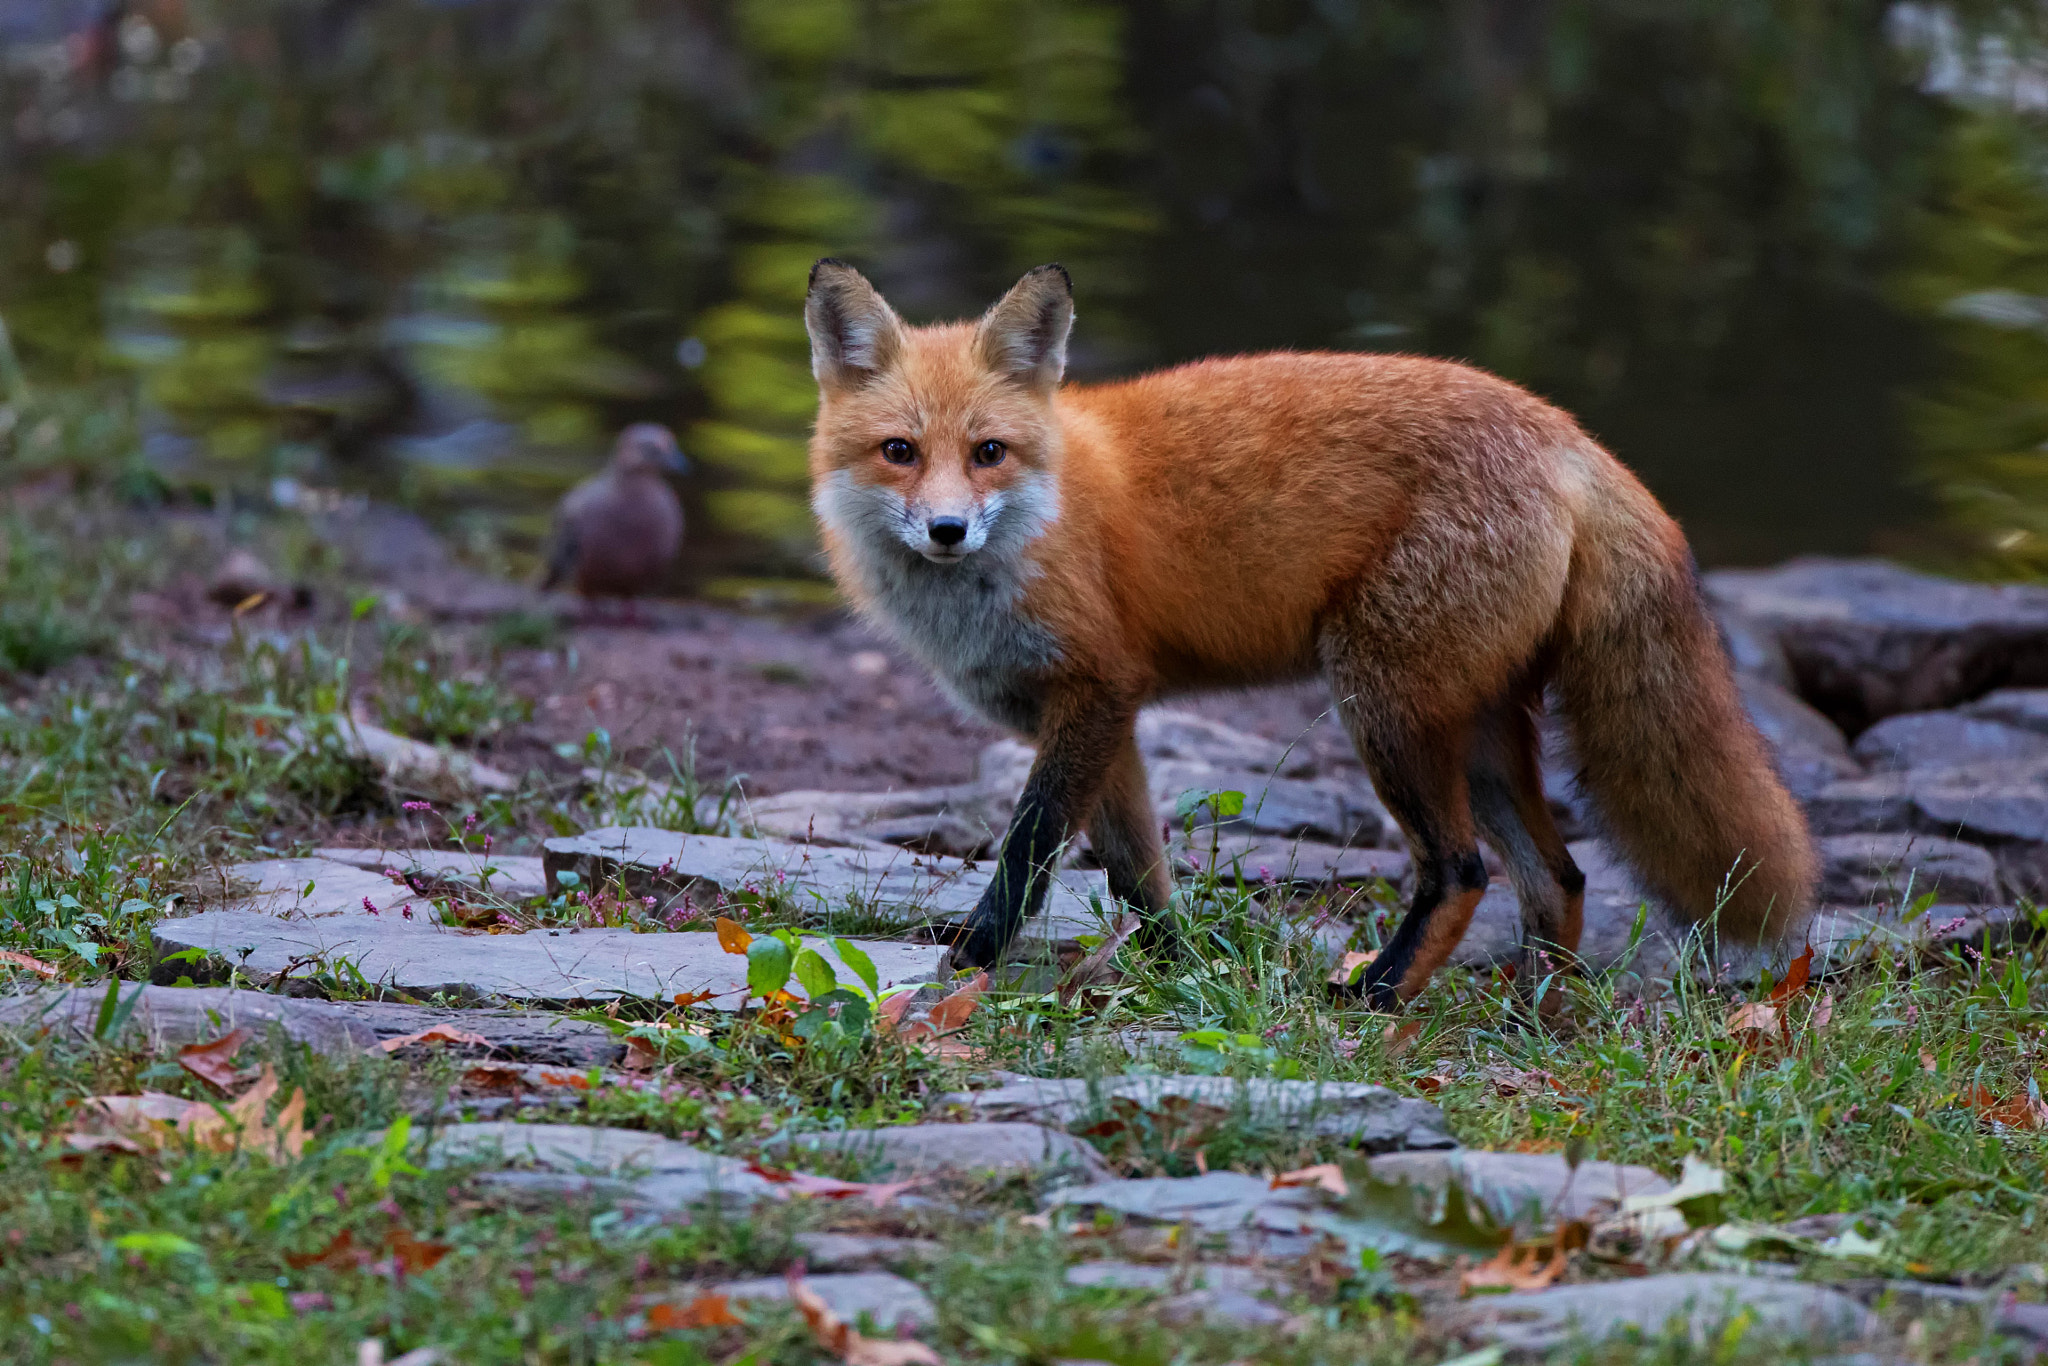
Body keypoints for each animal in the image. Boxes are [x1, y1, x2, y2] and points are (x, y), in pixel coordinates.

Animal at [806, 262, 1818, 1011]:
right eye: (900, 452)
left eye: (989, 454)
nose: (947, 531)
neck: (1041, 520)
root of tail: (1568, 433)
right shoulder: (1111, 719)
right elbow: (1140, 878)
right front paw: (1180, 970)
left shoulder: (1093, 696)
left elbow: (1026, 853)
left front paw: (972, 962)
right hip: (1475, 726)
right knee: (1559, 879)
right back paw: (1532, 1019)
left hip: (1383, 706)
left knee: (1462, 871)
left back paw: (1377, 994)